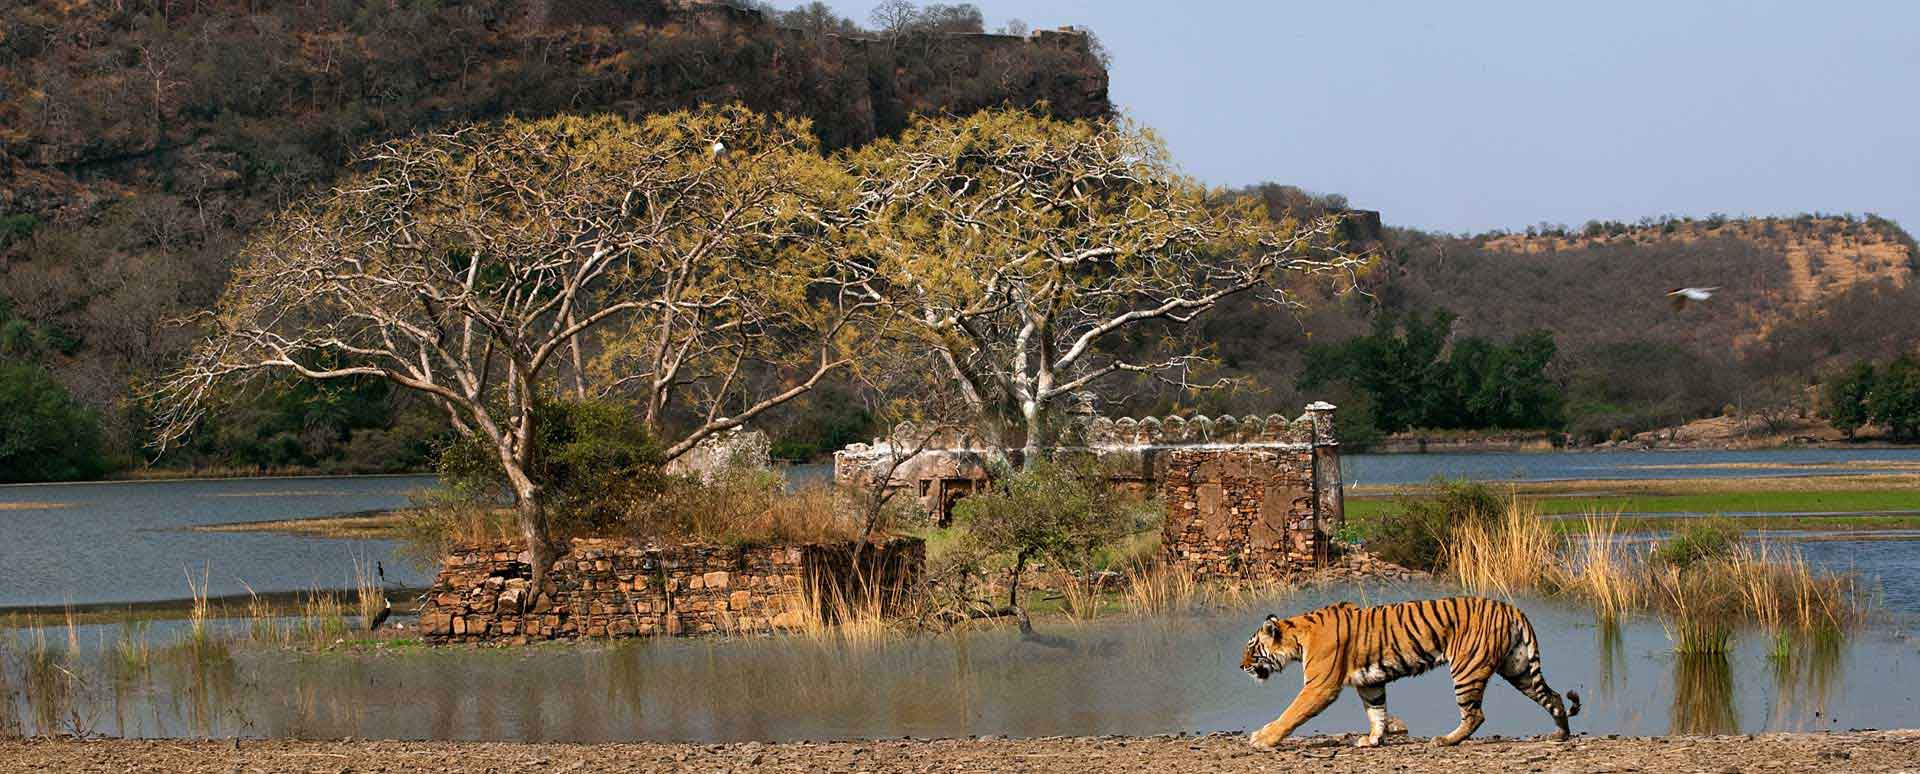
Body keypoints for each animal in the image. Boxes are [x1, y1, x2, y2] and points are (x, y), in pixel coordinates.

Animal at [1244, 595, 1574, 749]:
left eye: (1252, 649)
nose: (1241, 666)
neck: (1297, 636)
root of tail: (1512, 608)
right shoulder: (1370, 682)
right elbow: (1376, 712)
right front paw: (1373, 740)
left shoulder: (1319, 686)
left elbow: (1291, 714)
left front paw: (1263, 738)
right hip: (1518, 668)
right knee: (1554, 697)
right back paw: (1560, 734)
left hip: (1467, 670)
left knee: (1475, 715)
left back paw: (1445, 740)